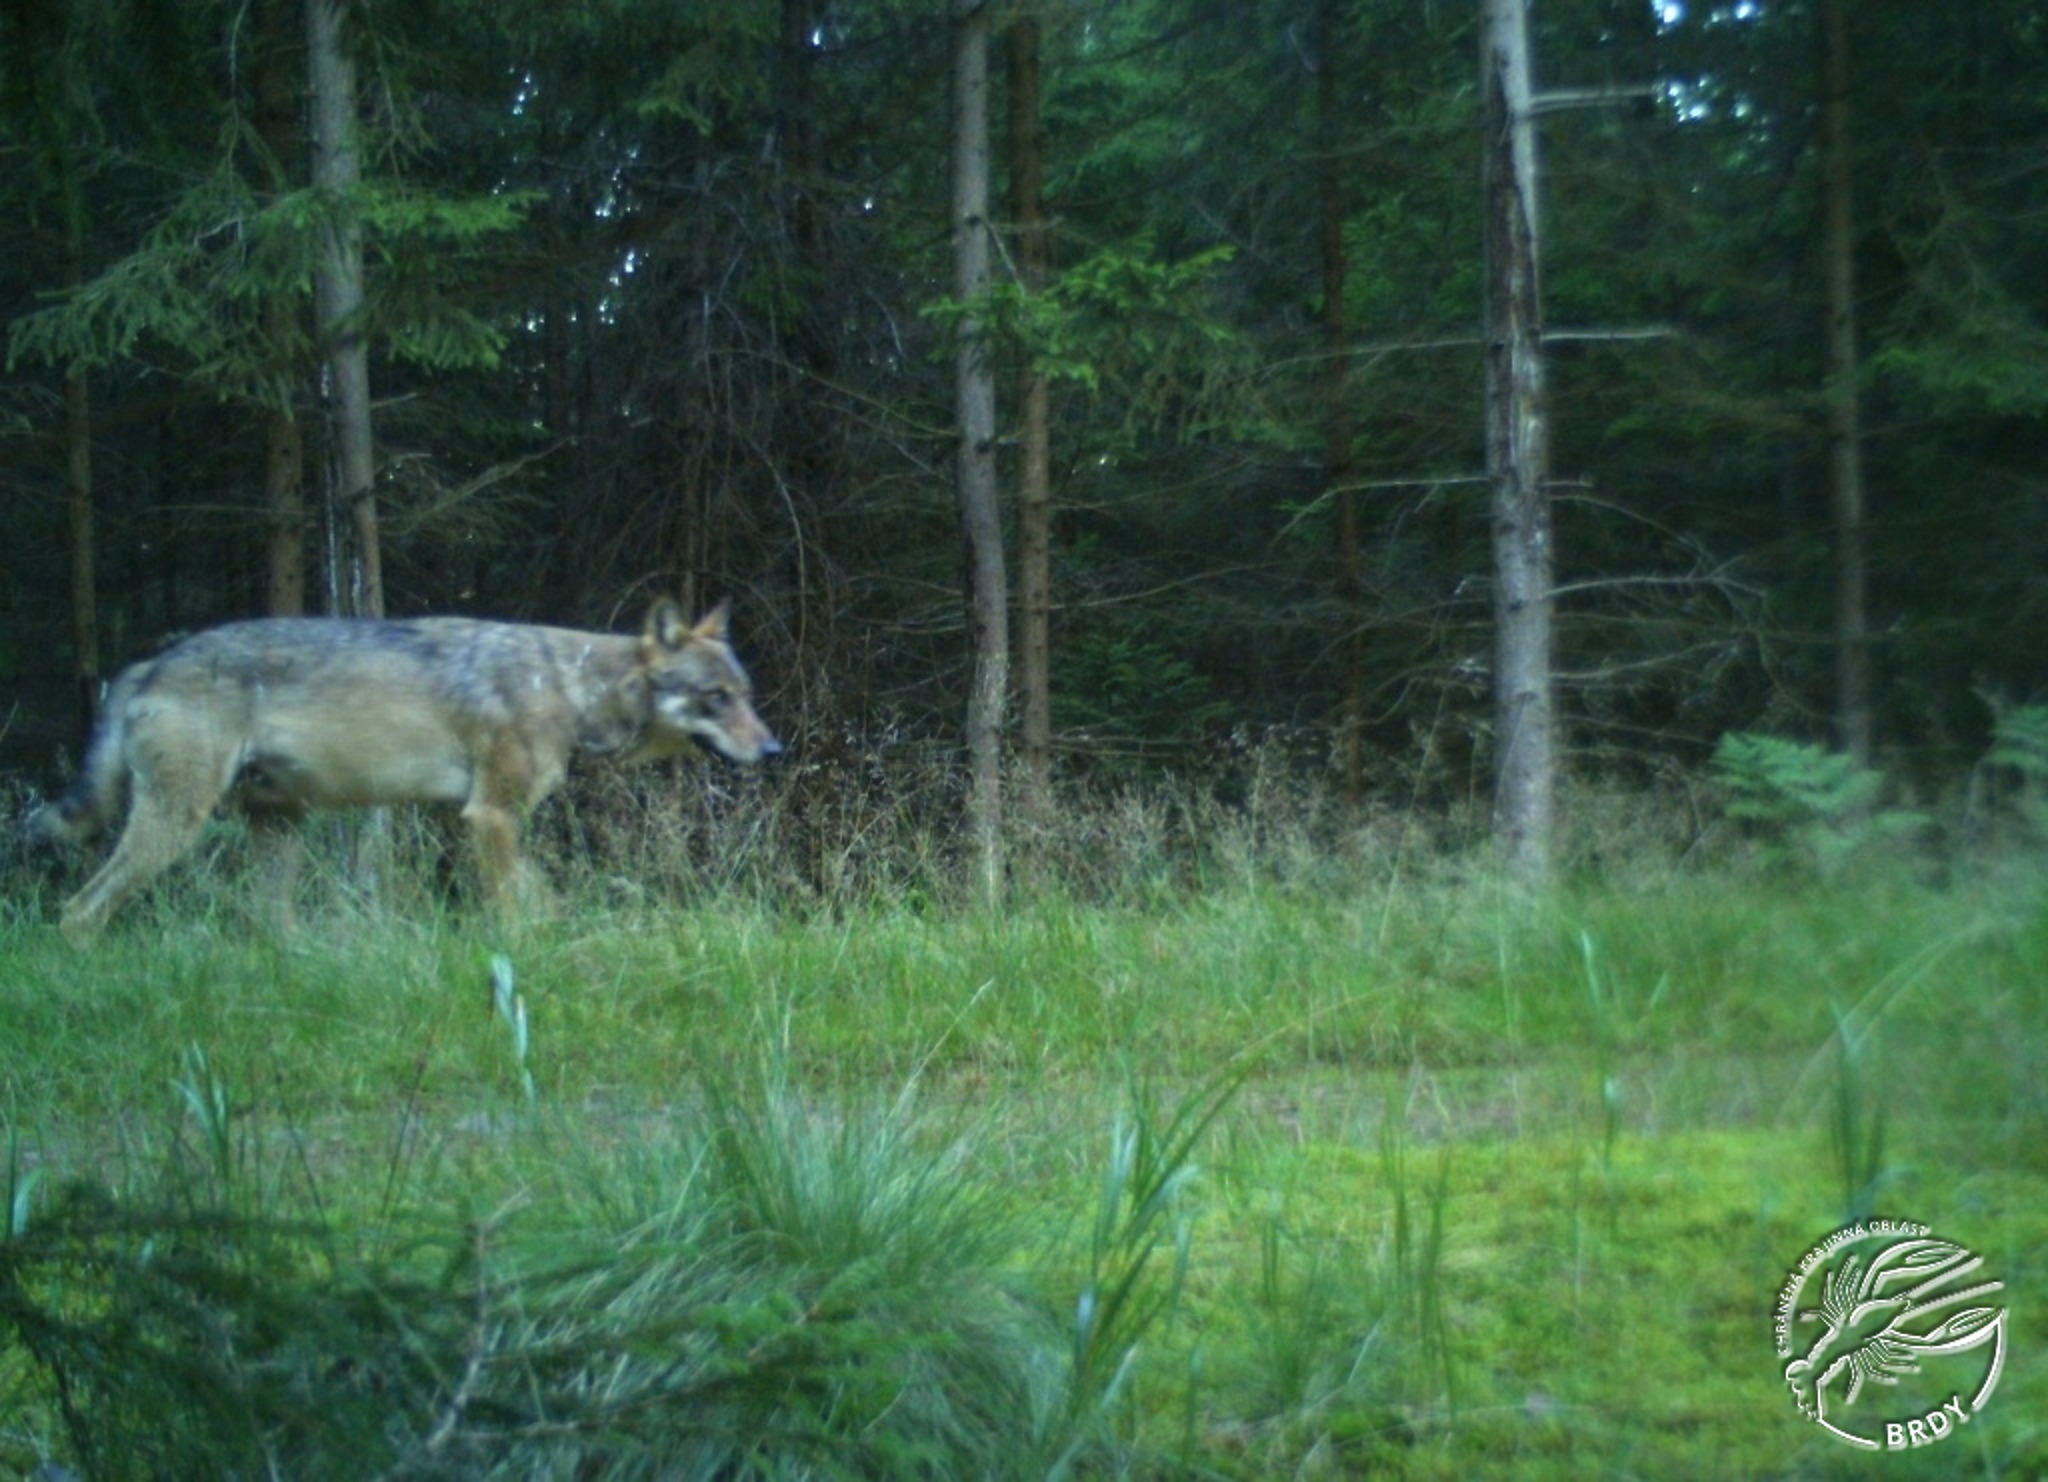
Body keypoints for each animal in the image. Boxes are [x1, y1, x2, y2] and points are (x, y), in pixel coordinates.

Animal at [32, 597, 782, 941]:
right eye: (717, 698)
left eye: (748, 694)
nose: (774, 751)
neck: (570, 687)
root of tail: (145, 665)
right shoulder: (490, 816)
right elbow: (513, 913)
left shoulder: (496, 824)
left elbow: (544, 900)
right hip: (176, 823)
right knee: (76, 911)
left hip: (278, 831)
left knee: (271, 924)